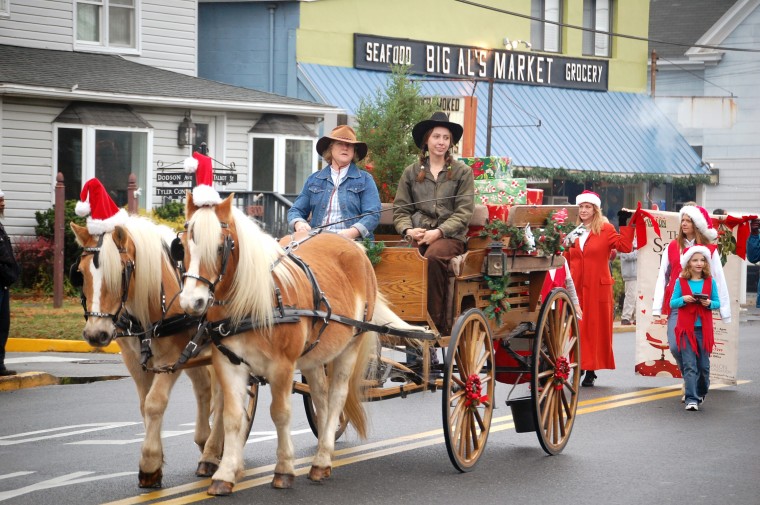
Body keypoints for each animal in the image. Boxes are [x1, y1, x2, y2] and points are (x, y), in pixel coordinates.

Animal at [70, 218, 226, 488]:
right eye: (80, 273)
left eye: (121, 271)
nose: (95, 334)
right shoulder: (134, 360)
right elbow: (144, 405)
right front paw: (155, 462)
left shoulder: (171, 358)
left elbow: (155, 403)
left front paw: (150, 463)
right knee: (204, 388)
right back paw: (204, 441)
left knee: (222, 394)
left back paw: (211, 452)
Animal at [177, 194, 428, 496]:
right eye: (181, 245)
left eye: (219, 246)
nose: (192, 301)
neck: (253, 301)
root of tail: (354, 248)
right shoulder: (229, 363)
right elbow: (232, 416)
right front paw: (224, 475)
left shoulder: (282, 367)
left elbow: (280, 414)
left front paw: (284, 469)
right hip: (314, 356)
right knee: (320, 396)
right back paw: (323, 451)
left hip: (350, 346)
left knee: (336, 397)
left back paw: (321, 461)